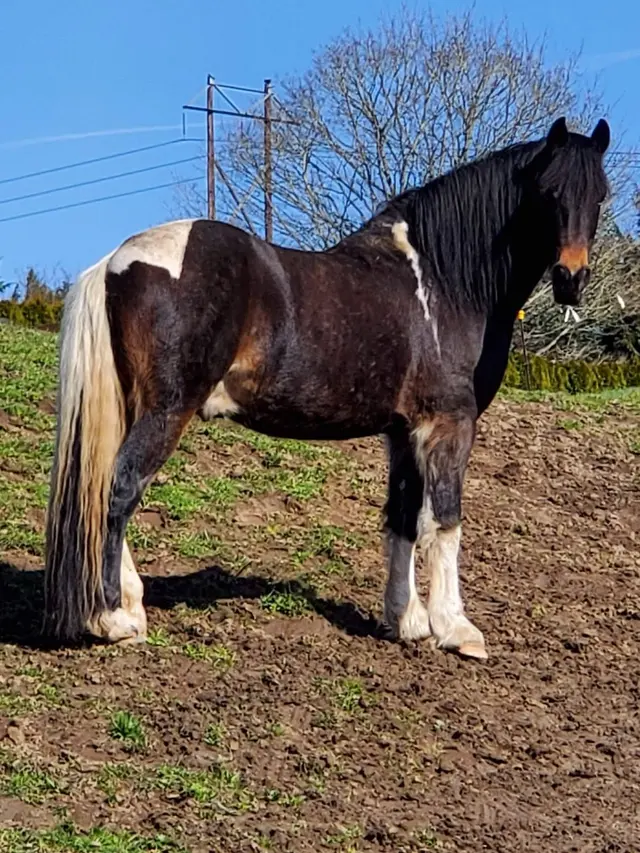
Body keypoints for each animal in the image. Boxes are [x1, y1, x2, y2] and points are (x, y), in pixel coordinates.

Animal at [43, 116, 610, 659]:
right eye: (549, 191)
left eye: (600, 195)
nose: (572, 278)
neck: (443, 283)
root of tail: (116, 261)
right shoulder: (448, 424)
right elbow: (445, 520)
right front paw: (457, 629)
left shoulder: (403, 432)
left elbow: (403, 518)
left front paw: (407, 623)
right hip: (166, 411)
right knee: (120, 490)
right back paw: (113, 618)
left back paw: (130, 607)